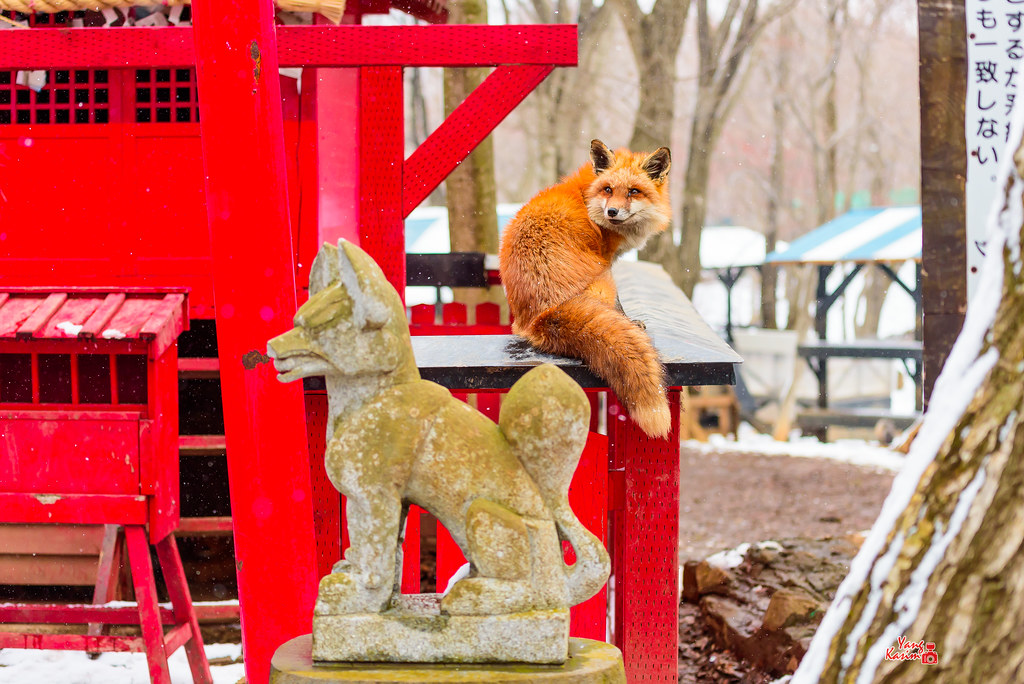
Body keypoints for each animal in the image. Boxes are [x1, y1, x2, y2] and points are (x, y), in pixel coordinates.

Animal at [497, 139, 671, 438]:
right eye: (608, 189)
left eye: (633, 191)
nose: (612, 212)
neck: (588, 197)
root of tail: (544, 316)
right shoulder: (607, 261)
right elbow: (619, 308)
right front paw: (630, 322)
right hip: (604, 279)